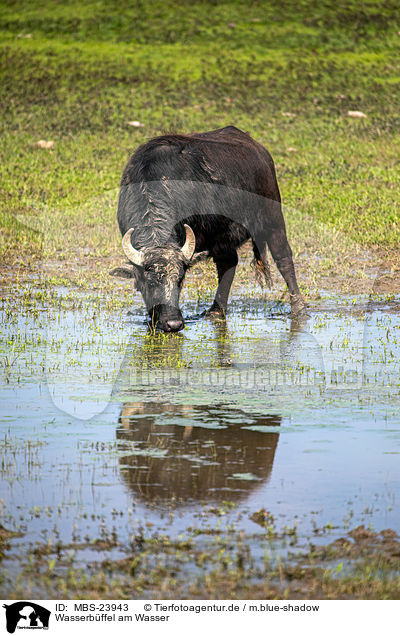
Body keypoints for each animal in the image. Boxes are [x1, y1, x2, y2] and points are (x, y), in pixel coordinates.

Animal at [109, 125, 304, 332]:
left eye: (180, 279)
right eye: (148, 282)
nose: (173, 323)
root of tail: (260, 151)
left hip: (274, 220)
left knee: (283, 258)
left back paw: (298, 307)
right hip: (222, 237)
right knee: (228, 263)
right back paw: (216, 310)